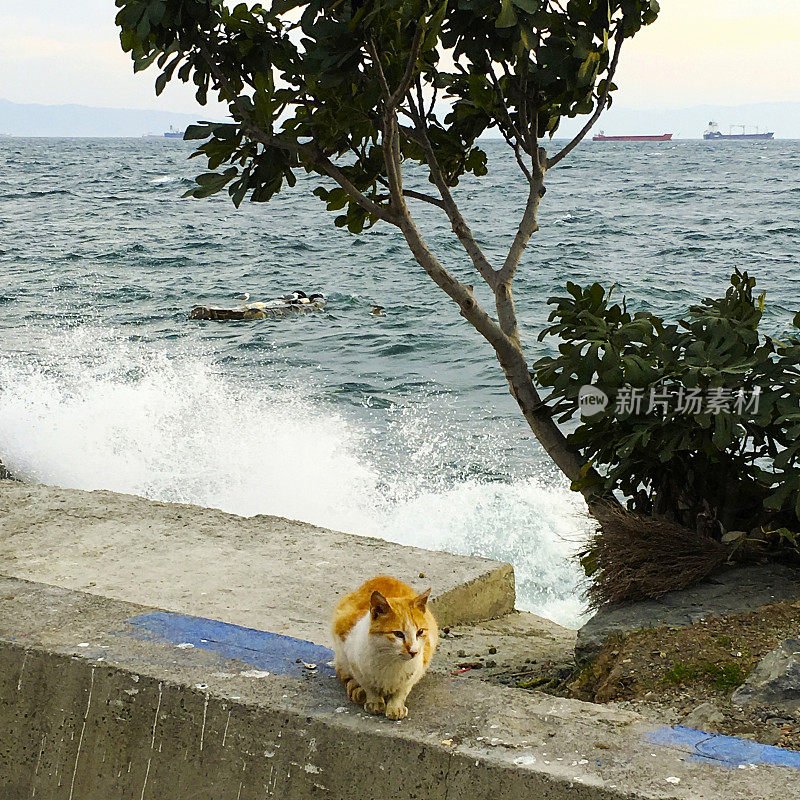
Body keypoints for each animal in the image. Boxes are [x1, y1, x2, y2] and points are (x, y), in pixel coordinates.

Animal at [332, 576, 438, 720]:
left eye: (420, 632)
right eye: (398, 634)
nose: (413, 651)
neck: (390, 661)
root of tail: (384, 577)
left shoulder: (419, 666)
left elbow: (402, 690)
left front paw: (395, 707)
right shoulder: (353, 660)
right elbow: (369, 686)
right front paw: (374, 702)